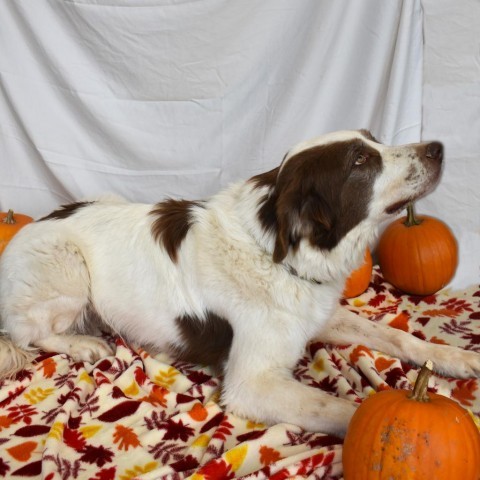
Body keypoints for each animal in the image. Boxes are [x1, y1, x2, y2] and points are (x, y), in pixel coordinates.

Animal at [0, 130, 480, 436]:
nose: (437, 148)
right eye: (360, 161)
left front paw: (456, 357)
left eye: (374, 138)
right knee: (28, 333)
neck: (277, 248)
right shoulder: (253, 383)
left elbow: (396, 337)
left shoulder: (315, 315)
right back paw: (84, 343)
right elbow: (349, 409)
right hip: (67, 266)